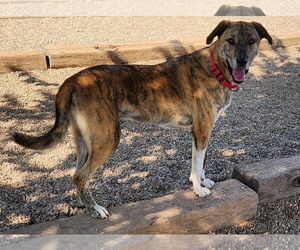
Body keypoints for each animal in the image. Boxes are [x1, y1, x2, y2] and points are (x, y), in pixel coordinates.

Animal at [12, 20, 274, 218]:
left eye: (251, 41)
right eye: (230, 41)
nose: (242, 61)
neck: (216, 67)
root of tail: (73, 80)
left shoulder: (202, 131)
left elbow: (200, 162)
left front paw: (203, 181)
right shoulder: (201, 129)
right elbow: (197, 163)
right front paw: (198, 190)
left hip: (85, 141)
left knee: (77, 175)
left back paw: (84, 204)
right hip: (107, 138)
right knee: (81, 175)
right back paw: (95, 208)